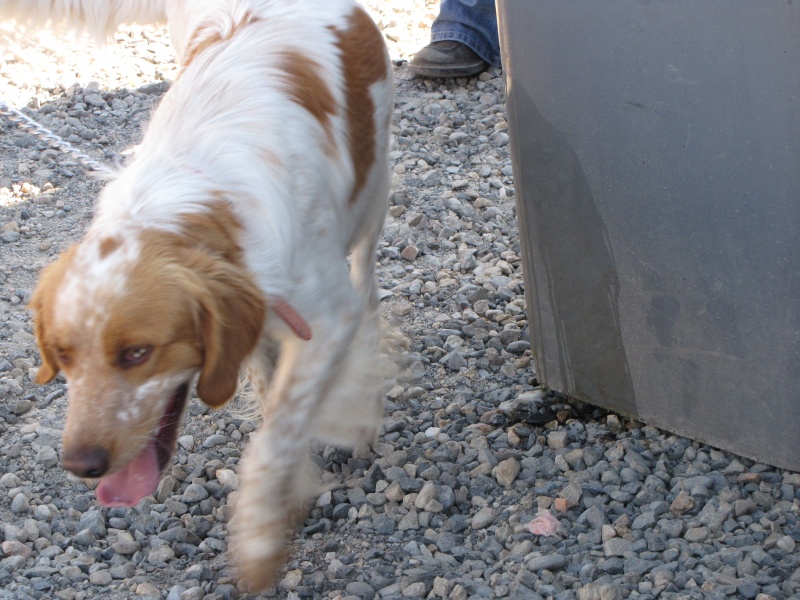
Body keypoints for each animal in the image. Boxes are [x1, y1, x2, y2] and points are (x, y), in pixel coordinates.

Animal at [4, 0, 394, 588]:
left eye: (137, 353)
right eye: (63, 355)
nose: (80, 465)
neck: (203, 212)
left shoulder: (329, 318)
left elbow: (278, 430)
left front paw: (259, 540)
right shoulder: (253, 327)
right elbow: (273, 405)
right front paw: (287, 495)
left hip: (374, 195)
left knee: (368, 287)